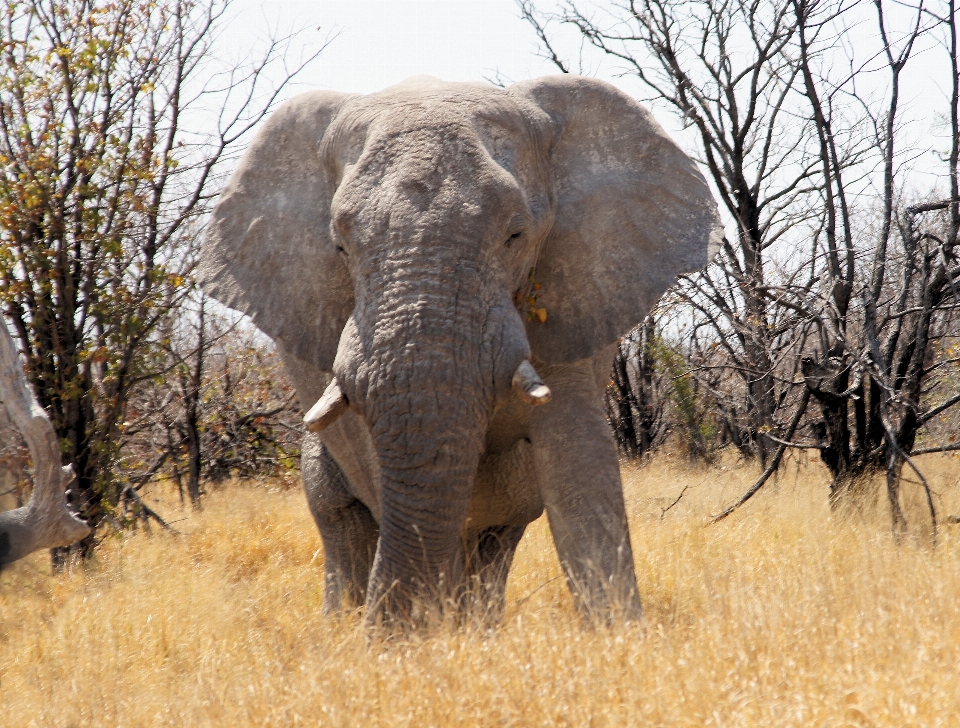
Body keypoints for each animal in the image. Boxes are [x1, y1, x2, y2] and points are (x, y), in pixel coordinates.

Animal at [197, 74, 720, 624]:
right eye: (340, 246)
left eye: (516, 234)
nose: (386, 635)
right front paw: (427, 633)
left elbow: (581, 470)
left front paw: (617, 634)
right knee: (344, 521)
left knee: (495, 539)